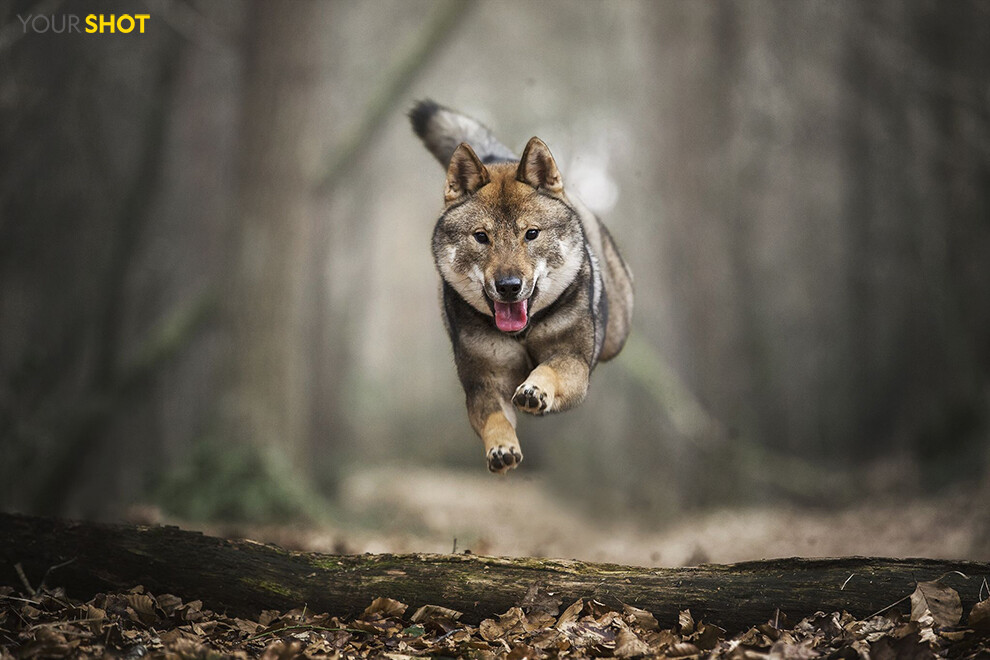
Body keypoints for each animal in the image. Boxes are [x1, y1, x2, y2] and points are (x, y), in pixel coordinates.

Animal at [412, 99, 636, 474]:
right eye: (481, 237)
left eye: (531, 234)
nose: (508, 286)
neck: (522, 334)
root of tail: (498, 154)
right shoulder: (483, 385)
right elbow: (495, 419)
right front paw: (501, 448)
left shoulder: (573, 363)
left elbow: (548, 370)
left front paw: (535, 391)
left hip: (615, 333)